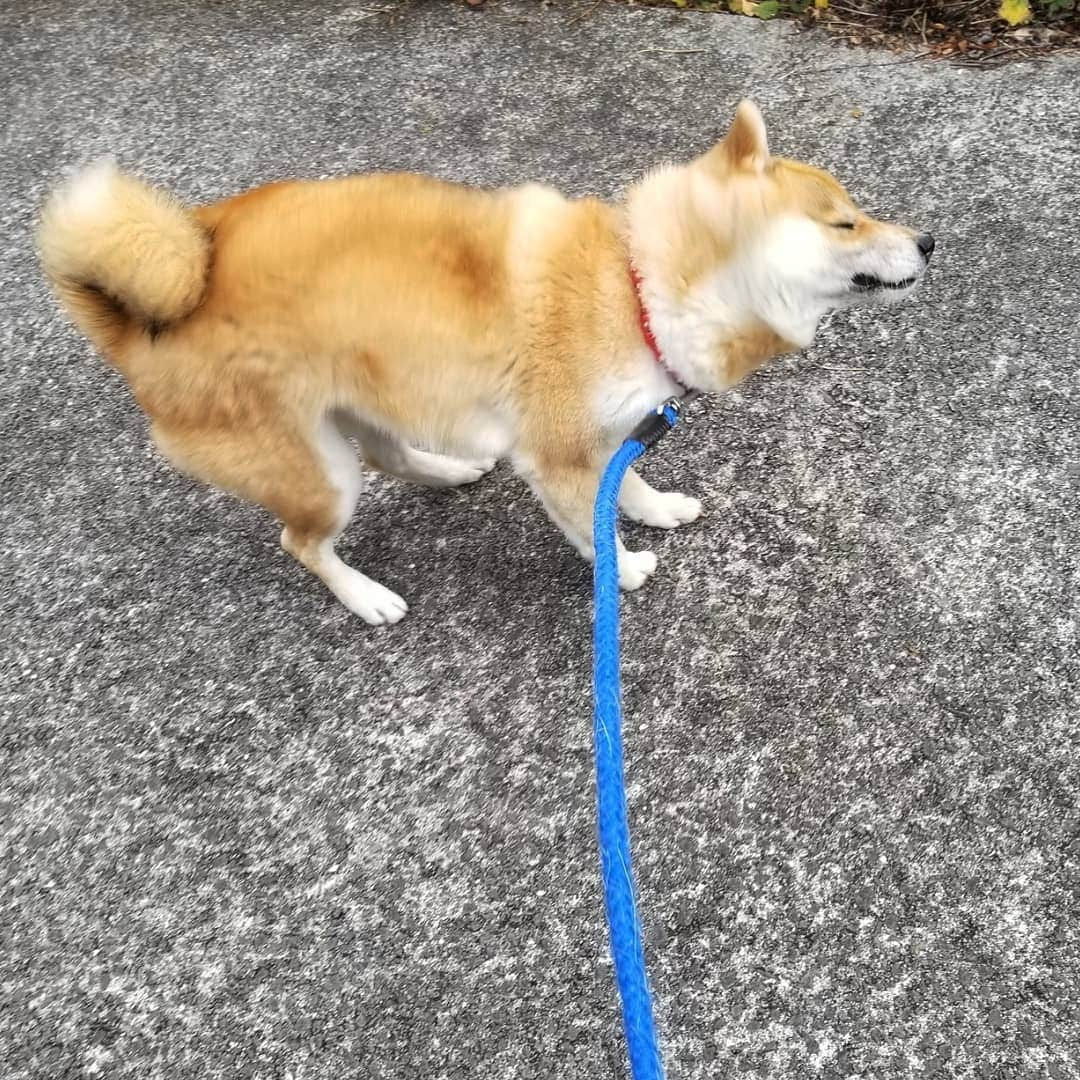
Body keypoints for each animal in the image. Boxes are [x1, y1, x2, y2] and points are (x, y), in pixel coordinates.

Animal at [38, 103, 933, 626]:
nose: (928, 240)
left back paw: (450, 469)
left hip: (361, 401)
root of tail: (145, 318)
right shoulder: (560, 452)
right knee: (305, 541)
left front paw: (655, 508)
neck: (636, 286)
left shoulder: (603, 434)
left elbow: (625, 484)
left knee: (389, 452)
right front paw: (623, 568)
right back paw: (367, 597)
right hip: (315, 469)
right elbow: (591, 521)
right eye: (846, 222)